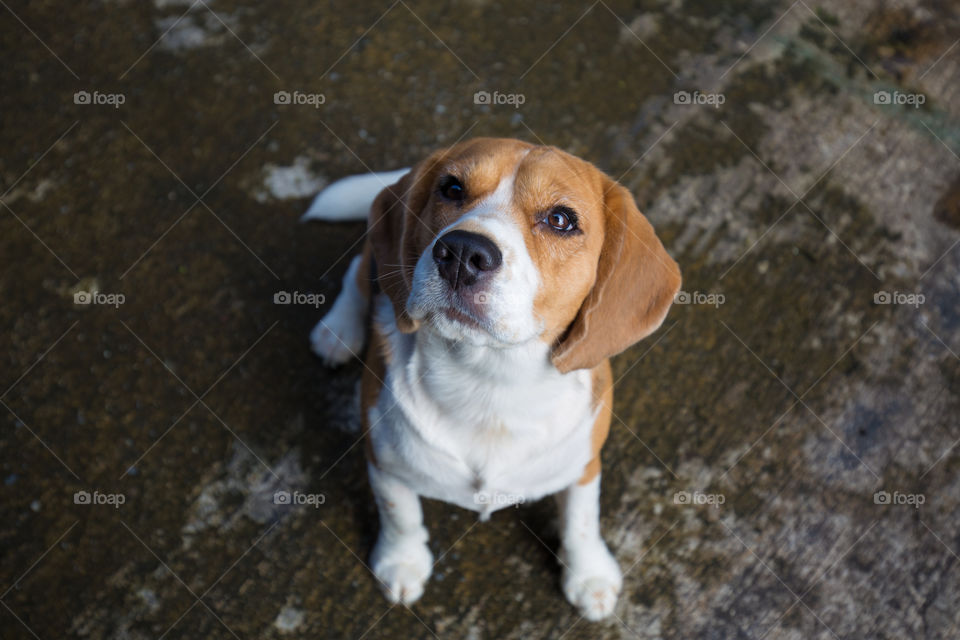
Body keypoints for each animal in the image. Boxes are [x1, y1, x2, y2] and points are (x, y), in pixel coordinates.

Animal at [308, 136, 684, 620]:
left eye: (560, 219)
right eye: (452, 188)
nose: (462, 252)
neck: (488, 381)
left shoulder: (584, 464)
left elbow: (581, 519)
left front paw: (589, 576)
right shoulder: (383, 459)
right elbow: (400, 514)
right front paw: (401, 563)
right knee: (358, 269)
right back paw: (338, 330)